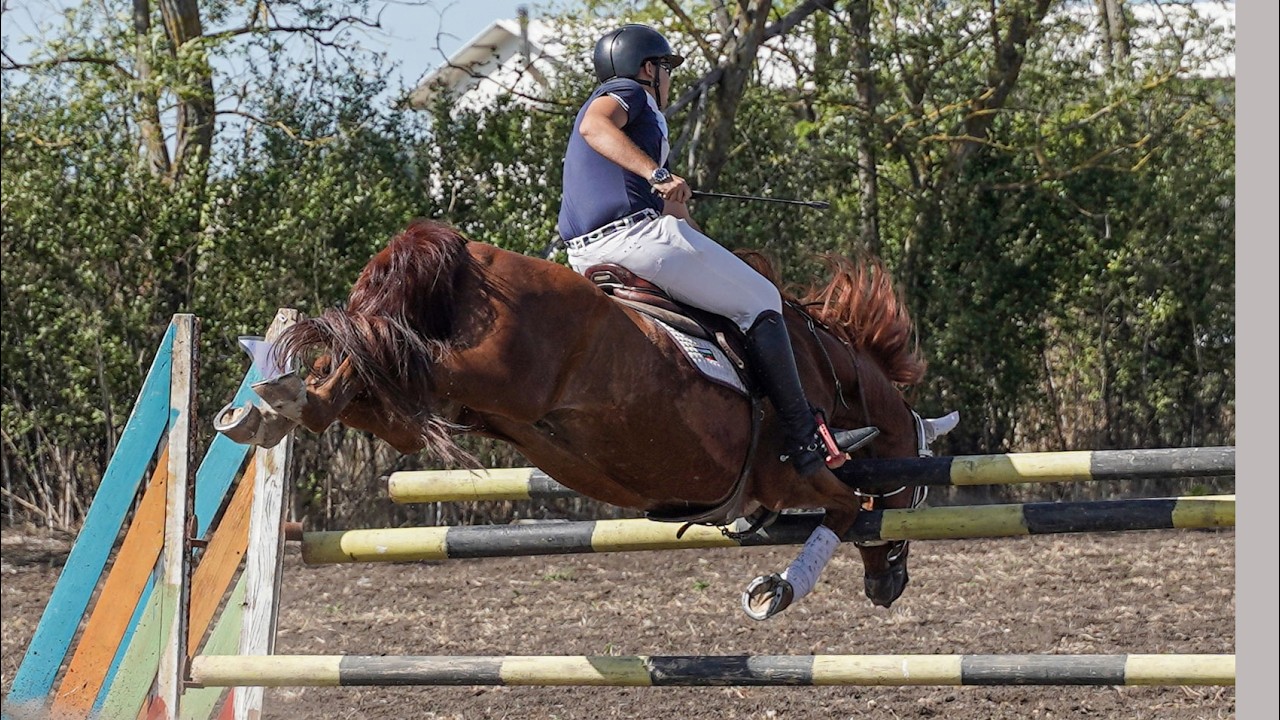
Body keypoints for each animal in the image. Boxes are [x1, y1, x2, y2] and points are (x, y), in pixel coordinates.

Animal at [220, 219, 948, 620]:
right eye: (916, 489)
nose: (890, 586)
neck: (823, 365)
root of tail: (460, 250)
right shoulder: (797, 476)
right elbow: (845, 507)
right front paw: (778, 590)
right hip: (483, 376)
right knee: (395, 354)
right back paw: (276, 396)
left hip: (458, 405)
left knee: (371, 373)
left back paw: (274, 400)